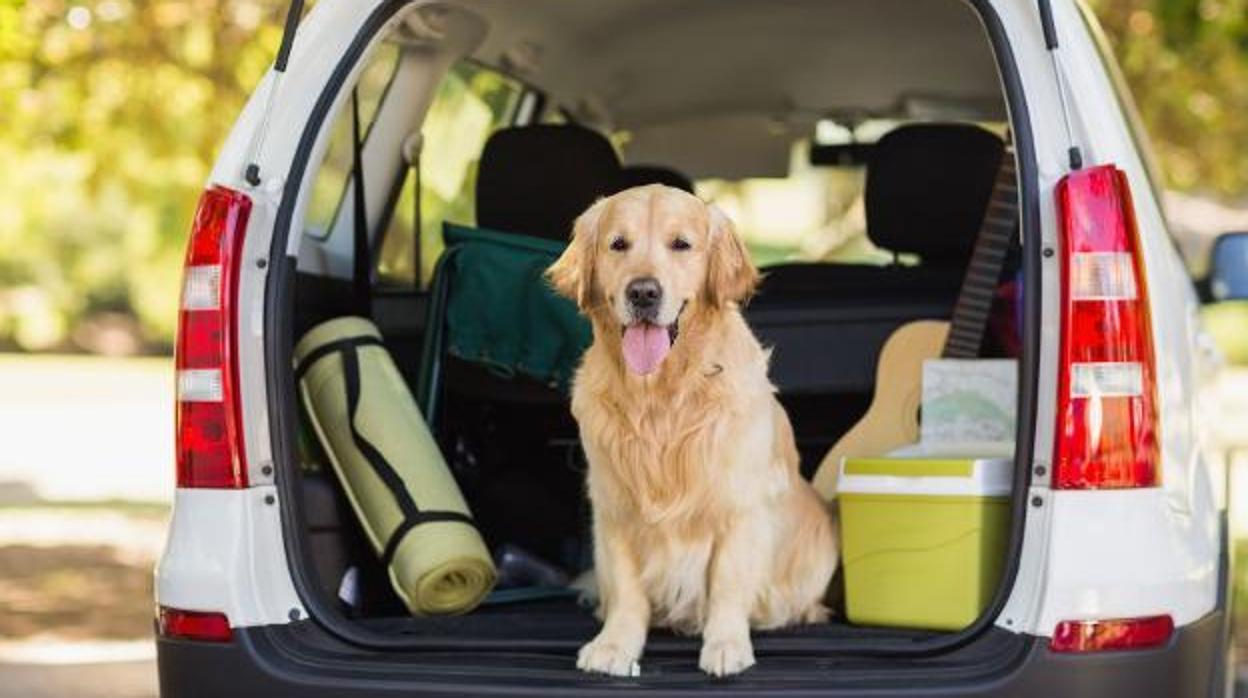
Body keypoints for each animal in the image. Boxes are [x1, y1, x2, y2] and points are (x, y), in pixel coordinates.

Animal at [546, 186, 838, 679]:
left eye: (681, 244)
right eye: (618, 244)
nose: (643, 292)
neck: (661, 397)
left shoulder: (739, 507)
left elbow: (727, 583)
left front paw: (725, 645)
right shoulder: (613, 506)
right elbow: (626, 589)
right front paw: (615, 645)